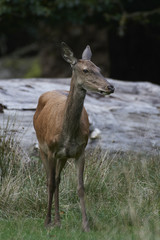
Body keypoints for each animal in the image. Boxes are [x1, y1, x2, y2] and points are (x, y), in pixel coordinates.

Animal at [33, 42, 114, 232]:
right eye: (85, 70)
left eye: (99, 68)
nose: (110, 87)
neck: (68, 133)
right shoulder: (51, 150)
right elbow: (50, 184)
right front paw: (46, 222)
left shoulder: (80, 152)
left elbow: (80, 187)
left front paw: (86, 225)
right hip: (42, 147)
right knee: (50, 180)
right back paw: (53, 221)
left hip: (63, 156)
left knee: (57, 179)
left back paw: (58, 220)